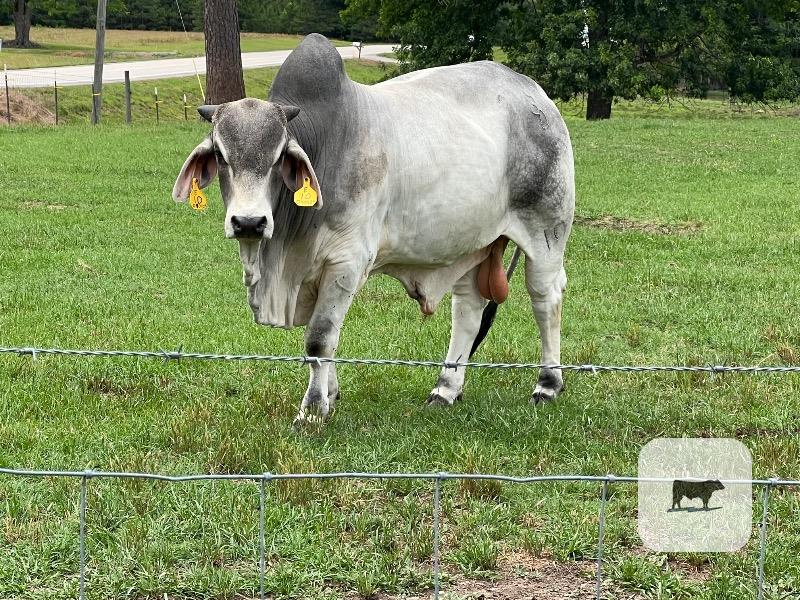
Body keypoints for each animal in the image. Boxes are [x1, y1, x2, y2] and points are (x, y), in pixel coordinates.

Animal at [172, 34, 575, 425]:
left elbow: (319, 339)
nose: (249, 222)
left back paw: (547, 385)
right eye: (221, 156)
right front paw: (330, 396)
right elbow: (326, 339)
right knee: (468, 309)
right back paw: (445, 389)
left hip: (547, 231)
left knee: (545, 298)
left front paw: (312, 410)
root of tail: (534, 92)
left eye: (278, 158)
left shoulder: (346, 261)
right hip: (469, 242)